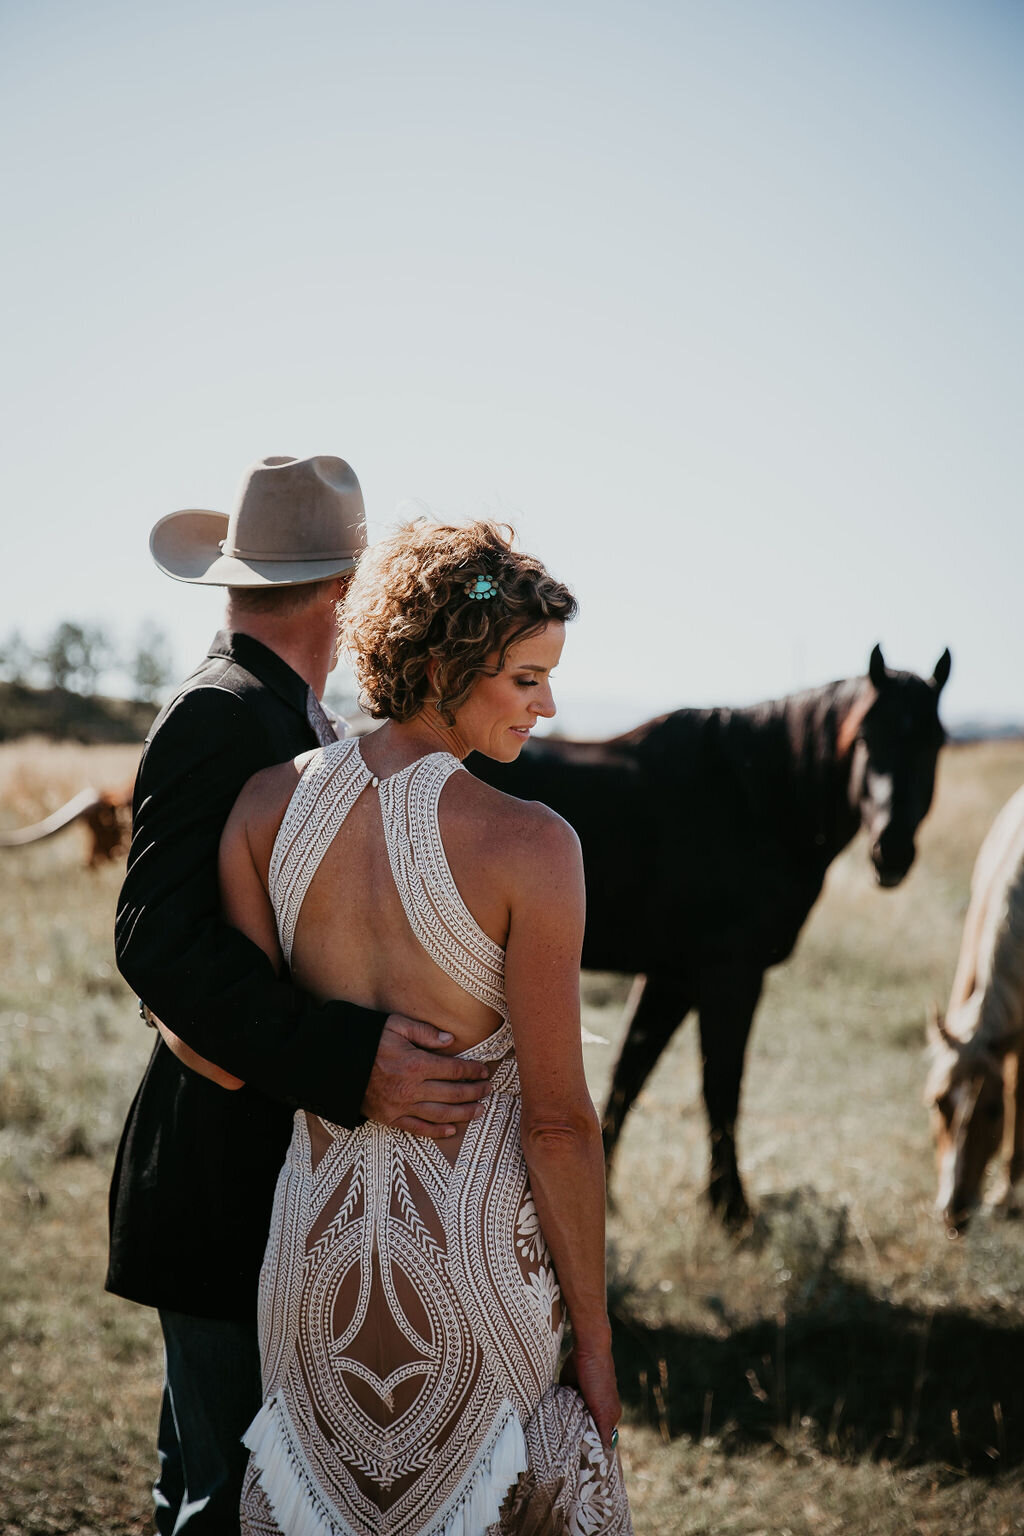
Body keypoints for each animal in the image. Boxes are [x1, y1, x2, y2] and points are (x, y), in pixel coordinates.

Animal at [472, 642, 951, 1228]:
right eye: (865, 738)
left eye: (934, 742)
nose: (892, 851)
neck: (754, 800)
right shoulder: (730, 975)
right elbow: (721, 1086)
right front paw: (731, 1210)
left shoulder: (672, 976)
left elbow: (630, 1072)